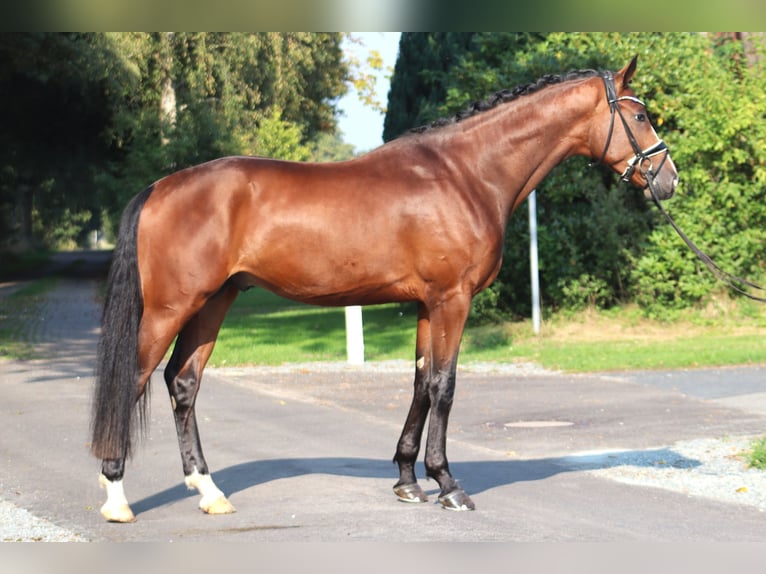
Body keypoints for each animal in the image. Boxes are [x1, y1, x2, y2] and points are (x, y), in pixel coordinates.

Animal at [90, 57, 680, 520]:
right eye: (640, 115)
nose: (668, 179)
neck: (465, 174)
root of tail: (159, 188)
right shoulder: (451, 300)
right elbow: (444, 385)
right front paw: (448, 484)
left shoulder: (424, 305)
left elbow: (420, 383)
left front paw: (407, 480)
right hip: (170, 308)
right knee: (134, 379)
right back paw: (116, 495)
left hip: (214, 303)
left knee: (182, 383)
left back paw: (208, 490)